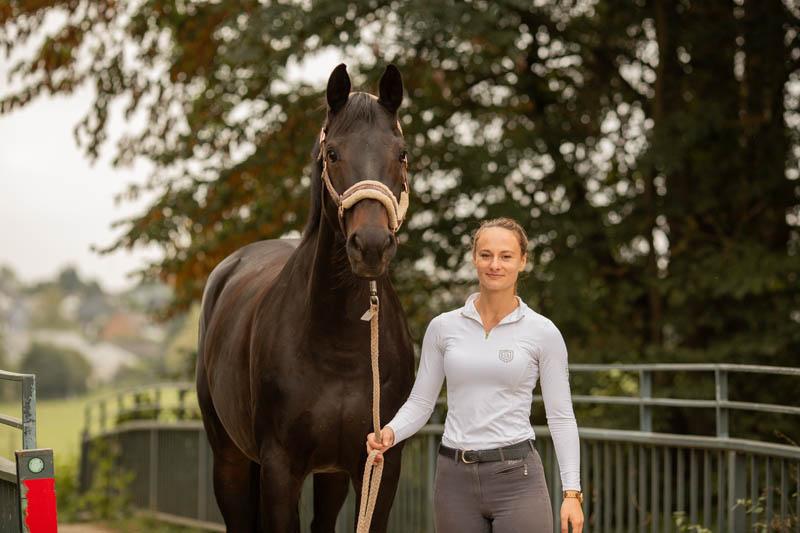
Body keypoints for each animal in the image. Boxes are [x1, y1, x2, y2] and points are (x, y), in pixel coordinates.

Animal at [197, 64, 416, 528]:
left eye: (402, 153)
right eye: (332, 153)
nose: (371, 246)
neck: (340, 347)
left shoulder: (378, 465)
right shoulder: (280, 469)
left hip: (331, 473)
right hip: (229, 458)